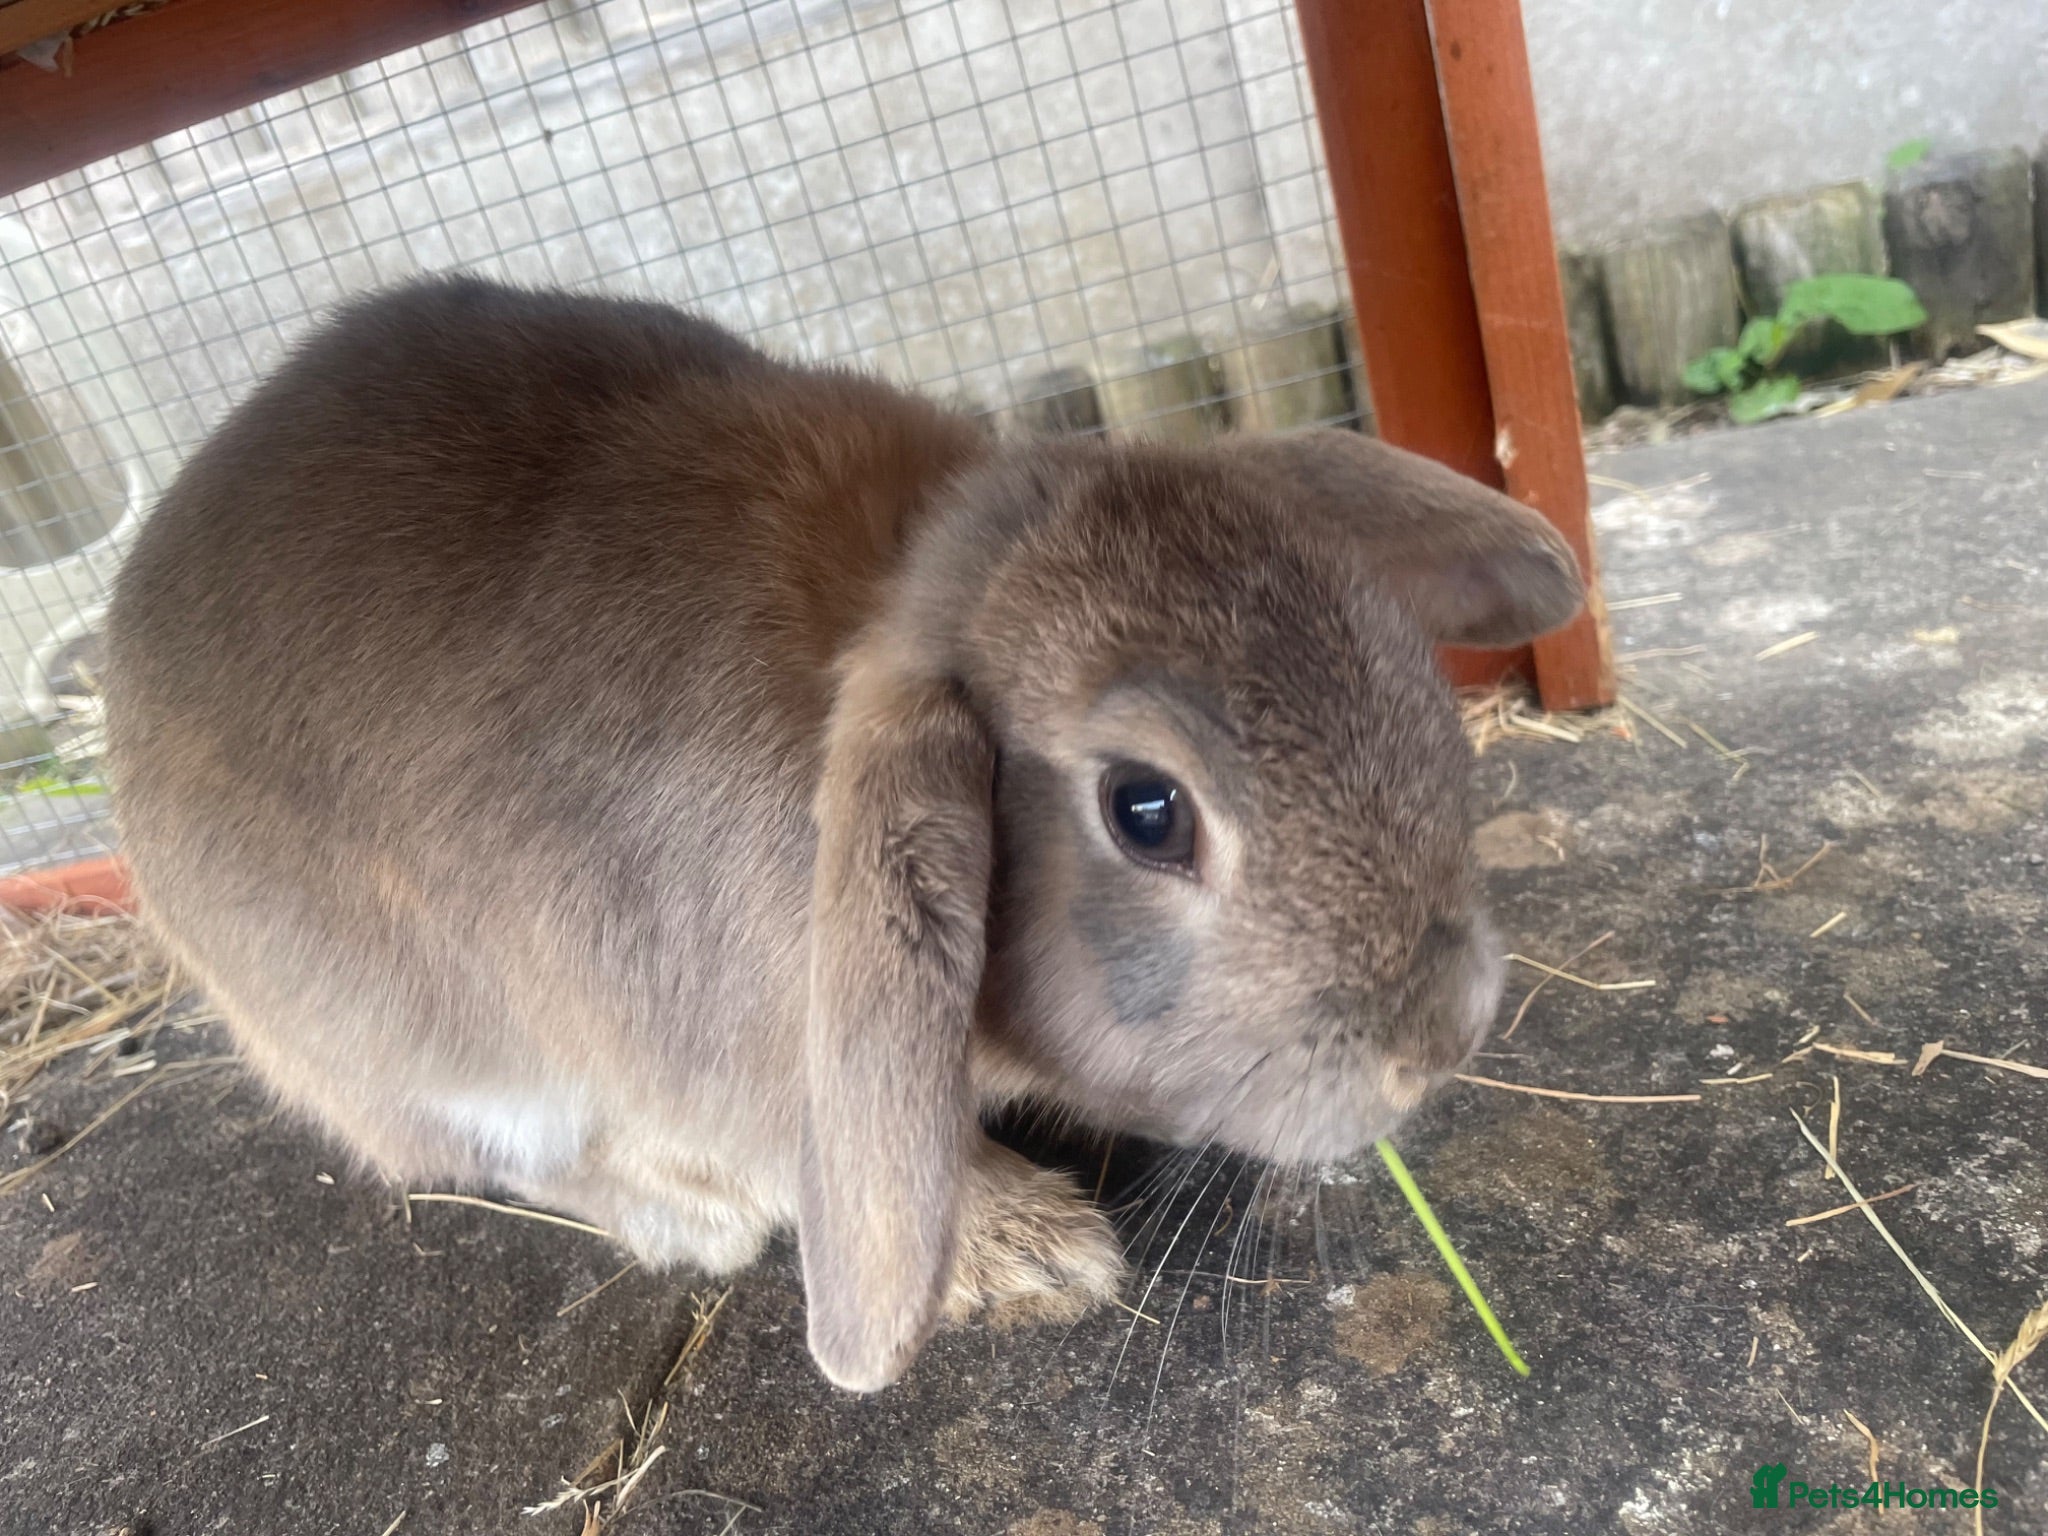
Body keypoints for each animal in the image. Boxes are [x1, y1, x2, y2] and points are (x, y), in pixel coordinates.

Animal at [103, 274, 1585, 1393]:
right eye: (1146, 811)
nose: (1441, 1036)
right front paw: (1032, 1253)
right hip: (407, 1044)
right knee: (500, 1153)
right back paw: (691, 1214)